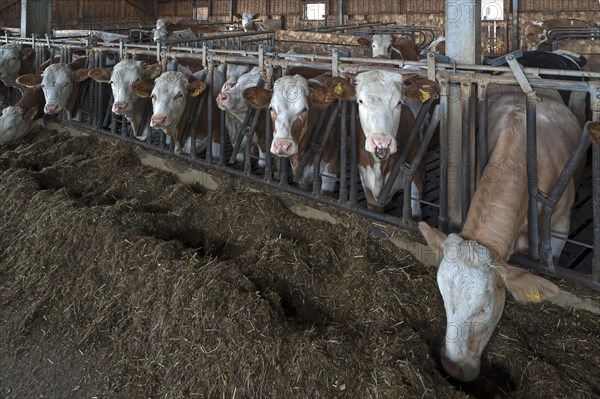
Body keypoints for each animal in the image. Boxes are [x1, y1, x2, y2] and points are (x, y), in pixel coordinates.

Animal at [324, 71, 436, 216]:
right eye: (360, 101)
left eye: (399, 102)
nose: (382, 142)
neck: (379, 169)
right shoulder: (367, 184)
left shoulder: (415, 180)